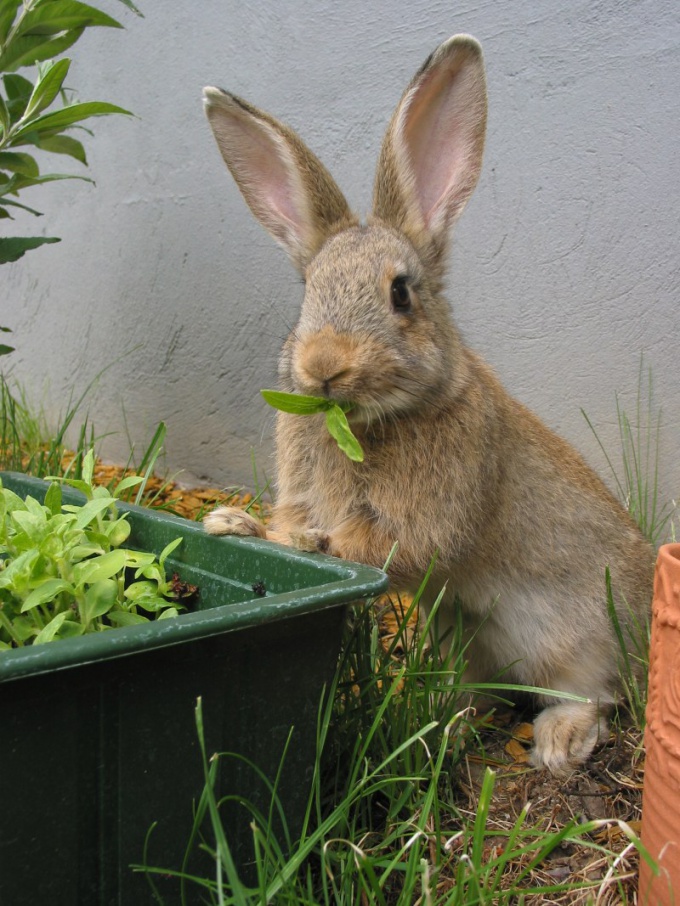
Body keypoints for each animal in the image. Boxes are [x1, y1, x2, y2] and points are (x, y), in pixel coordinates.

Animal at [201, 33, 652, 768]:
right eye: (308, 293)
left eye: (401, 294)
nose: (324, 365)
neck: (365, 421)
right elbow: (285, 523)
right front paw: (230, 524)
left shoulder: (430, 514)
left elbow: (378, 544)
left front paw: (305, 542)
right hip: (458, 638)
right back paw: (441, 724)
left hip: (574, 638)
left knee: (594, 693)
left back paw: (558, 740)